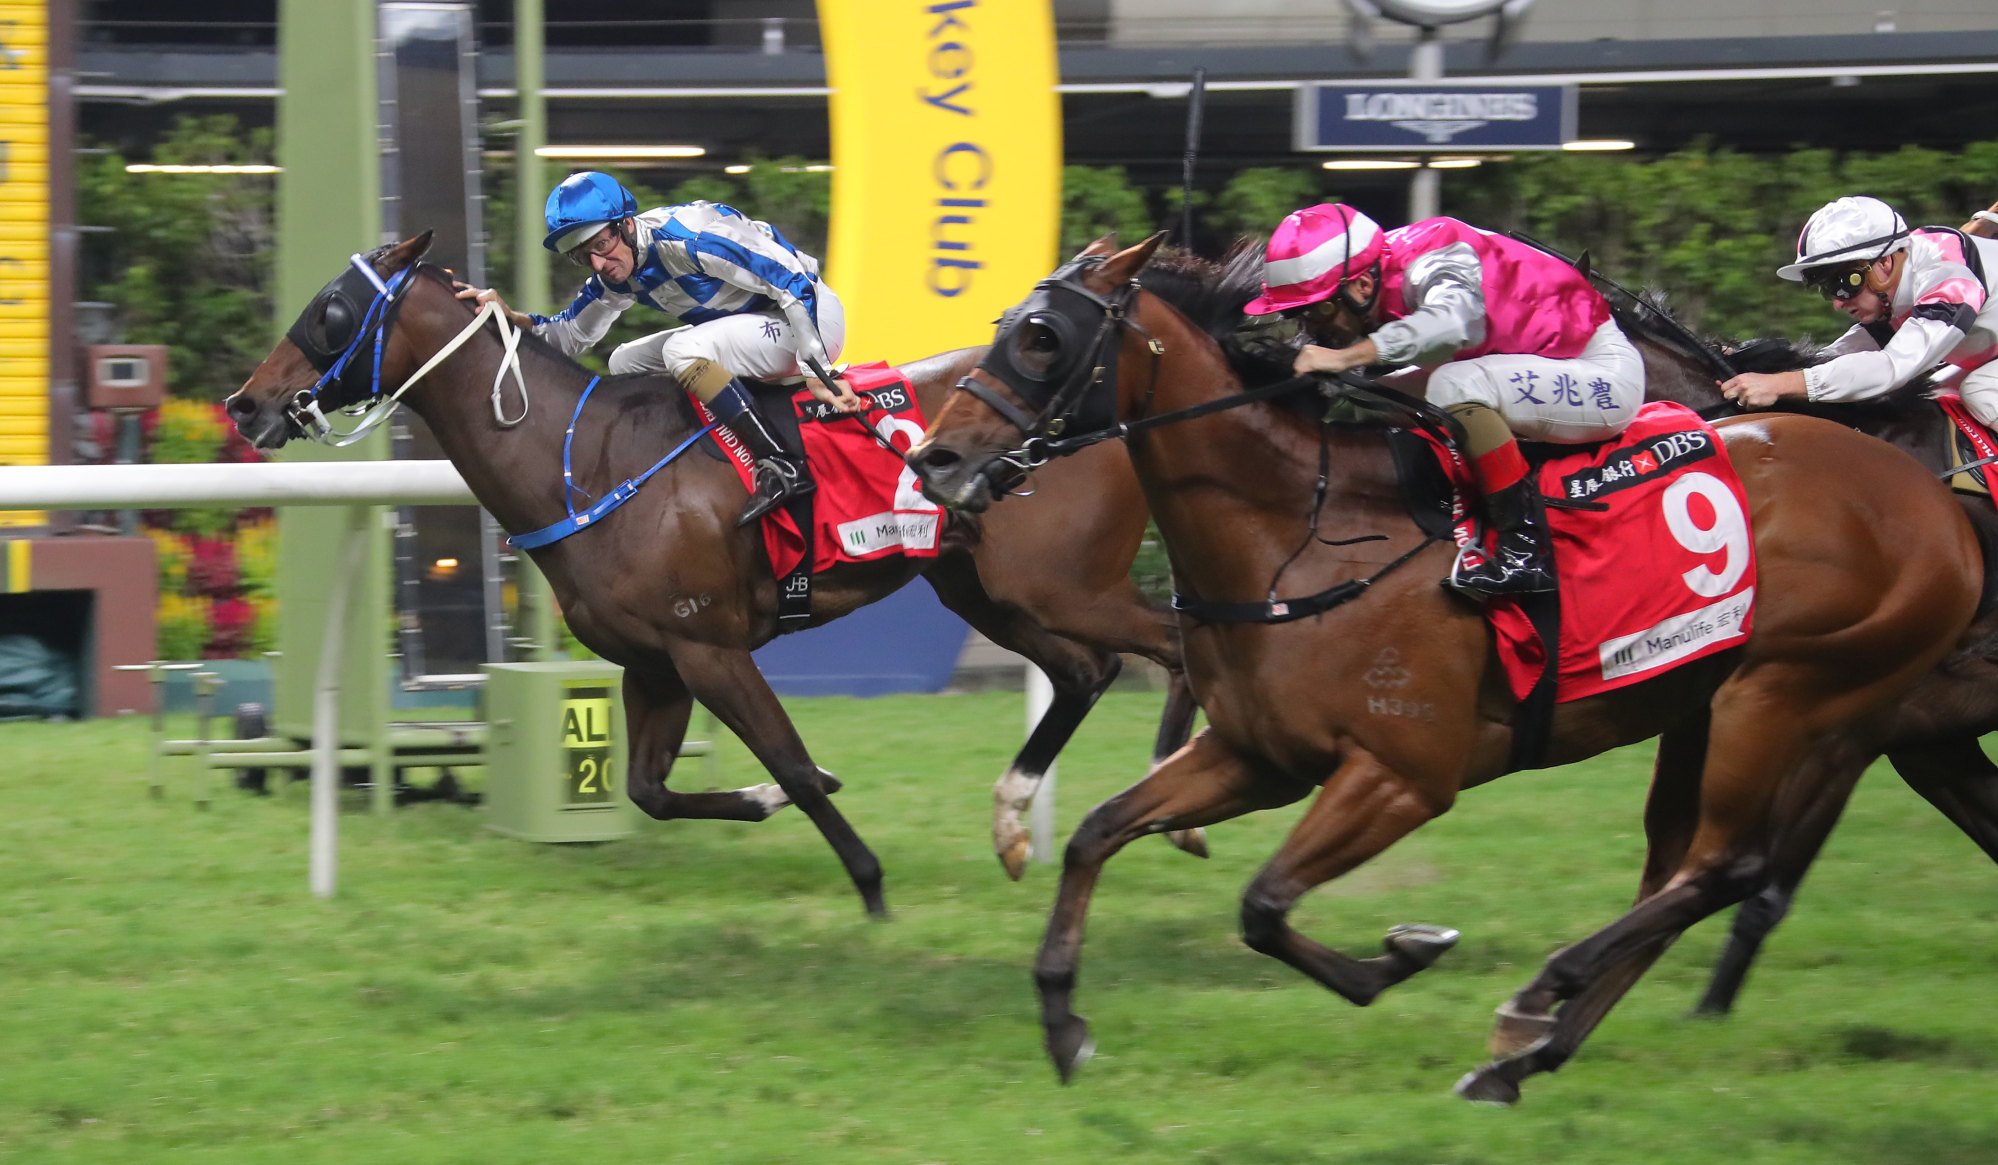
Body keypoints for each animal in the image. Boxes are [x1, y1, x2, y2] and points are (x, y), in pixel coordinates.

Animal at [224, 232, 1190, 915]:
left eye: (332, 310)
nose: (246, 402)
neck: (586, 460)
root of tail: (1104, 407)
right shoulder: (653, 661)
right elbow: (650, 789)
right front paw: (760, 800)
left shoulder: (710, 647)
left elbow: (795, 766)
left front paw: (870, 884)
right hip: (984, 589)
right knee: (1089, 670)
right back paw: (1047, 815)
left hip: (1063, 583)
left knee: (1175, 643)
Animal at [915, 234, 1990, 1103]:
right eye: (1005, 325)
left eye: (1043, 337)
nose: (933, 460)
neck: (1300, 532)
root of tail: (1934, 503)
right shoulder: (1260, 756)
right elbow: (1099, 834)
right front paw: (1062, 1018)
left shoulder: (1400, 775)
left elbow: (1263, 903)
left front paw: (1402, 954)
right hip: (1714, 704)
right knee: (1682, 870)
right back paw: (1524, 1056)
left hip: (1792, 694)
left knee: (1727, 866)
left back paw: (1539, 999)